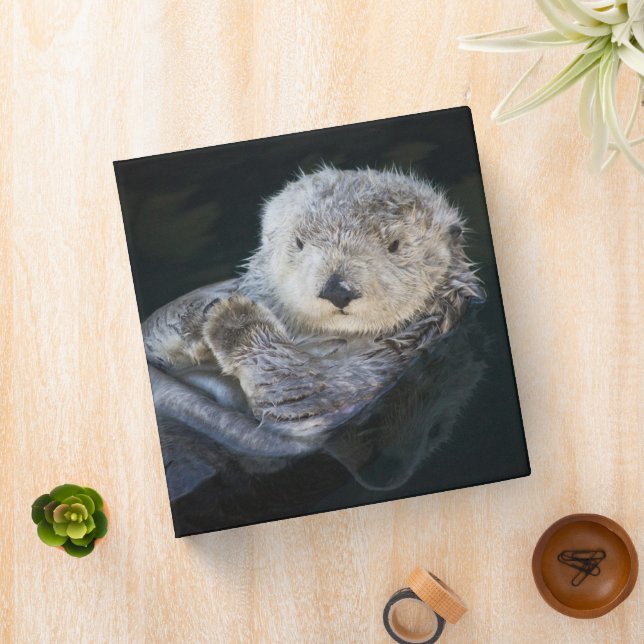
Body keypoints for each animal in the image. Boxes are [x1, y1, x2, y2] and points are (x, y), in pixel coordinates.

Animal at [143, 167, 484, 434]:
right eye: (299, 242)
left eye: (395, 245)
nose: (338, 289)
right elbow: (152, 332)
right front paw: (199, 313)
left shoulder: (370, 376)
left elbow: (302, 392)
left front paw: (235, 319)